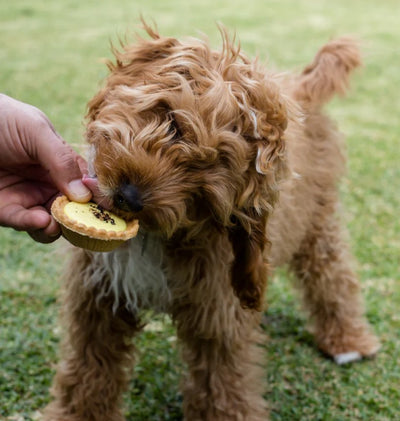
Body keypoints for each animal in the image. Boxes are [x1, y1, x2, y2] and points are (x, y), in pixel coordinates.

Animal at [43, 23, 378, 420]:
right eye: (173, 124)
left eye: (201, 192)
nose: (129, 197)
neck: (155, 238)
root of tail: (300, 84)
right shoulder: (98, 298)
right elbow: (88, 372)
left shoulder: (219, 313)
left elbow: (222, 388)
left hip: (318, 220)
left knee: (333, 277)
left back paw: (348, 340)